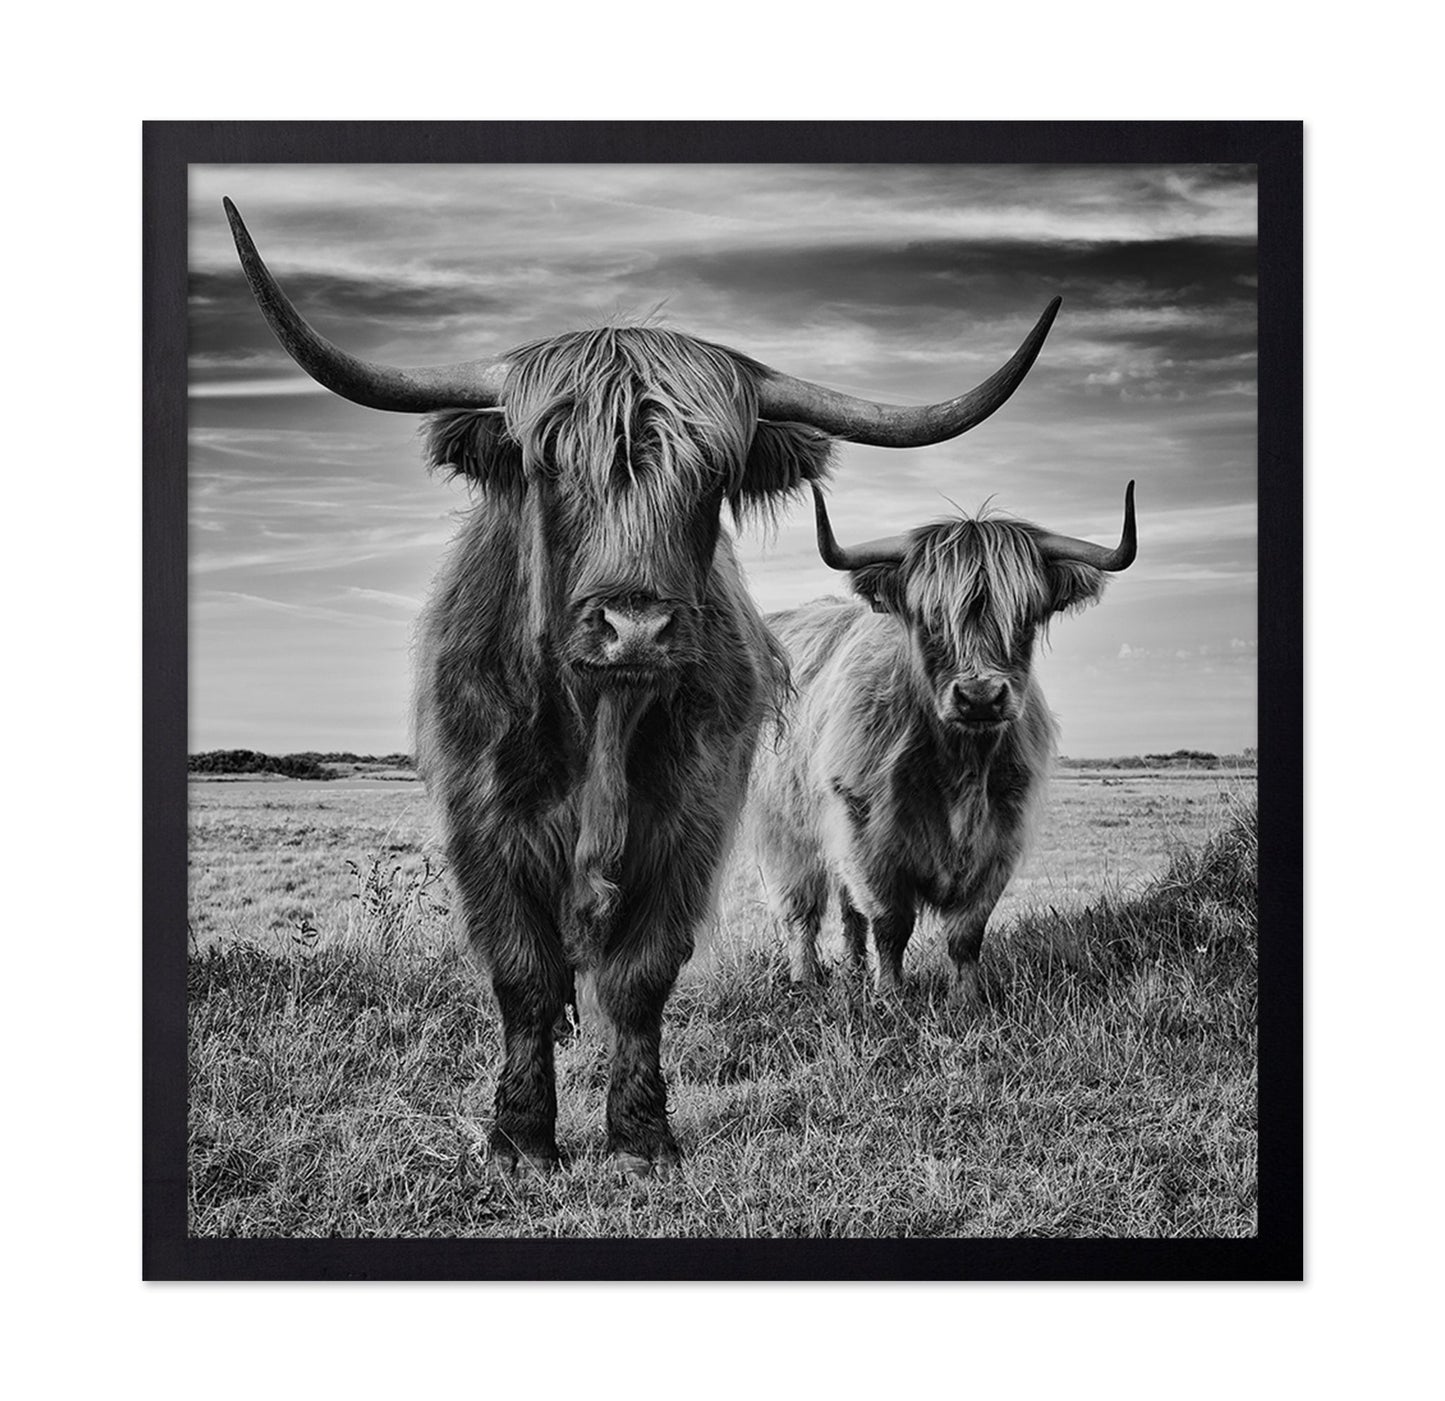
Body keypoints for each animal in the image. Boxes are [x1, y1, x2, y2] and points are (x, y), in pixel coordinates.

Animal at [223, 197, 1061, 1173]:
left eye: (712, 476)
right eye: (550, 465)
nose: (634, 626)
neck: (601, 720)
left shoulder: (692, 820)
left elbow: (642, 974)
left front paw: (640, 1136)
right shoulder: (481, 824)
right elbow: (523, 972)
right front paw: (520, 1139)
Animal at [749, 482, 1136, 1008]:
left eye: (1025, 618)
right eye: (930, 619)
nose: (980, 697)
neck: (960, 766)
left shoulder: (1000, 838)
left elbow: (966, 931)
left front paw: (965, 999)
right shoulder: (867, 836)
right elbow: (891, 922)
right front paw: (891, 996)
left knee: (848, 912)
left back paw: (853, 971)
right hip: (786, 830)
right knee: (802, 909)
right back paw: (806, 978)